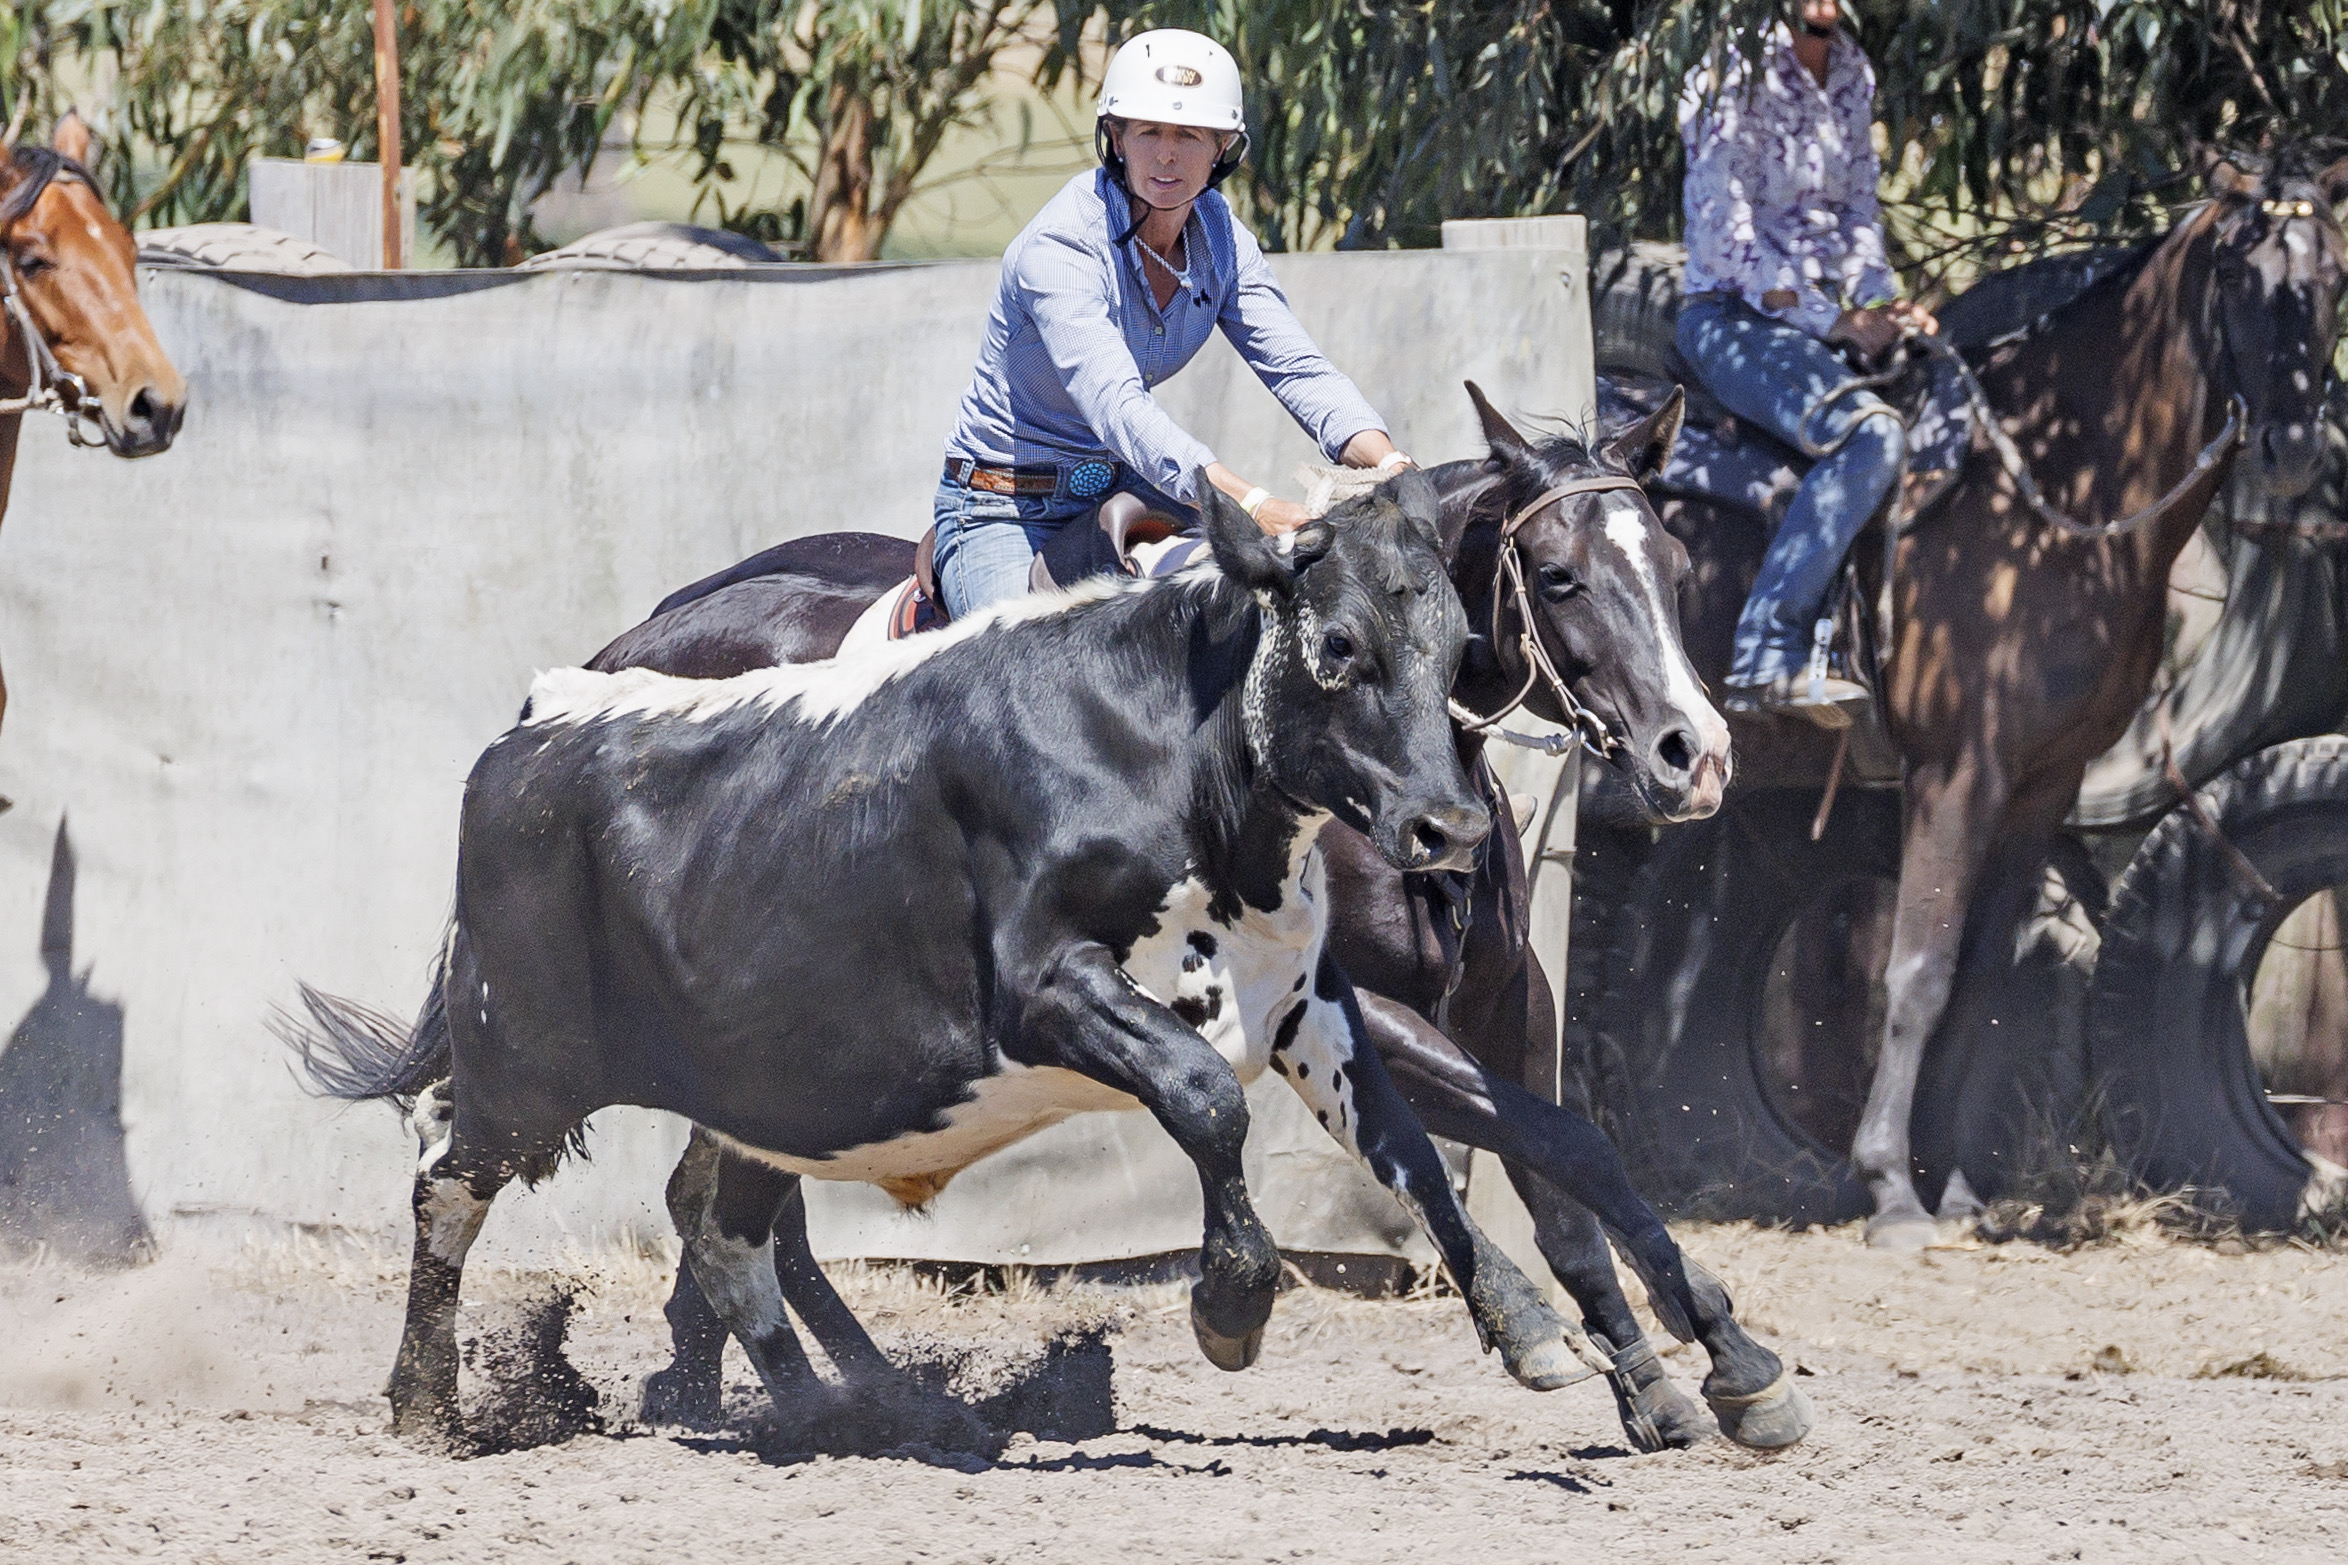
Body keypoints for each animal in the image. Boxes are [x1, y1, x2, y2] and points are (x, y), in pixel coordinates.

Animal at [532, 385, 1810, 1451]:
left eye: (1672, 560)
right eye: (1553, 572)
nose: (1693, 754)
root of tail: (618, 650)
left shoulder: (1505, 996)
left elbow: (1568, 1158)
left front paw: (1685, 1368)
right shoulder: (1357, 1000)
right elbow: (1538, 1145)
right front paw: (1621, 1344)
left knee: (732, 1188)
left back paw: (753, 1378)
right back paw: (840, 1392)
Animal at [1648, 146, 2348, 1247]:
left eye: (2332, 276)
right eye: (2237, 273)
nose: (2291, 447)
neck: (2048, 495)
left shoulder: (2042, 780)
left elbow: (1977, 972)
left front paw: (1953, 1185)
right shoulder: (1956, 771)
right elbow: (1917, 967)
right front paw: (1891, 1189)